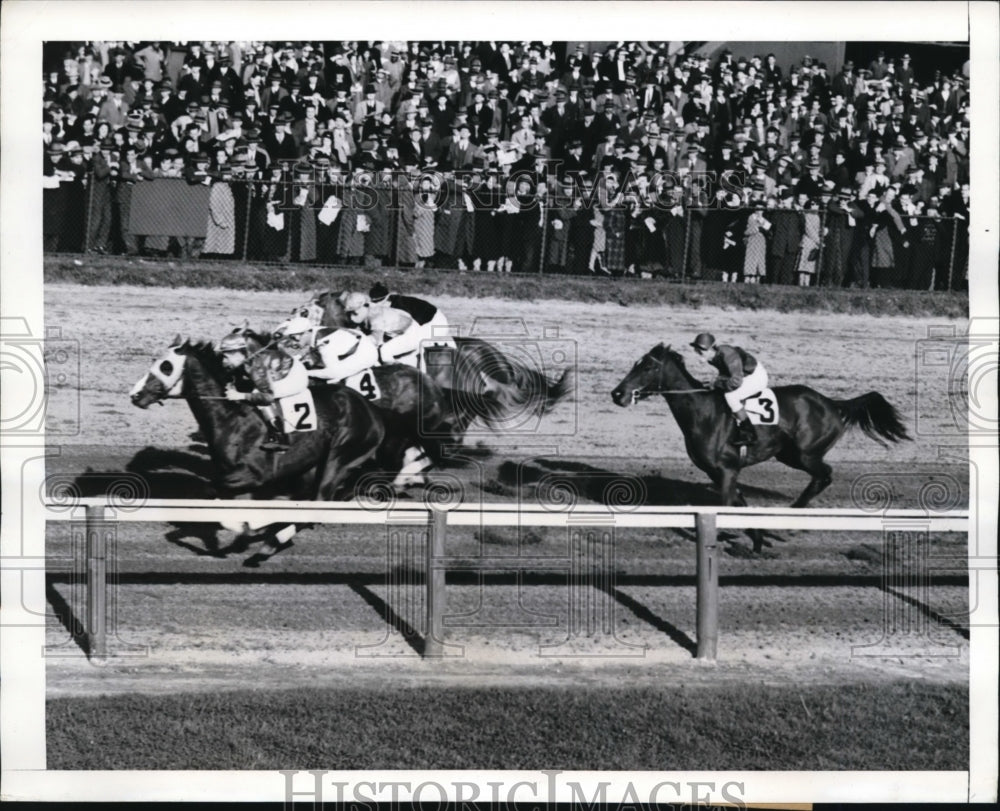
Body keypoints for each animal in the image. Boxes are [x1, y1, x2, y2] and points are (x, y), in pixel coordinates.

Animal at [608, 342, 916, 552]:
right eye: (635, 363)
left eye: (648, 367)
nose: (617, 393)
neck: (701, 411)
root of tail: (831, 402)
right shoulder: (720, 472)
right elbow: (739, 502)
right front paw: (756, 539)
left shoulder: (726, 470)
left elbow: (727, 505)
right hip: (788, 455)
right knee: (821, 476)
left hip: (804, 454)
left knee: (824, 475)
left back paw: (790, 518)